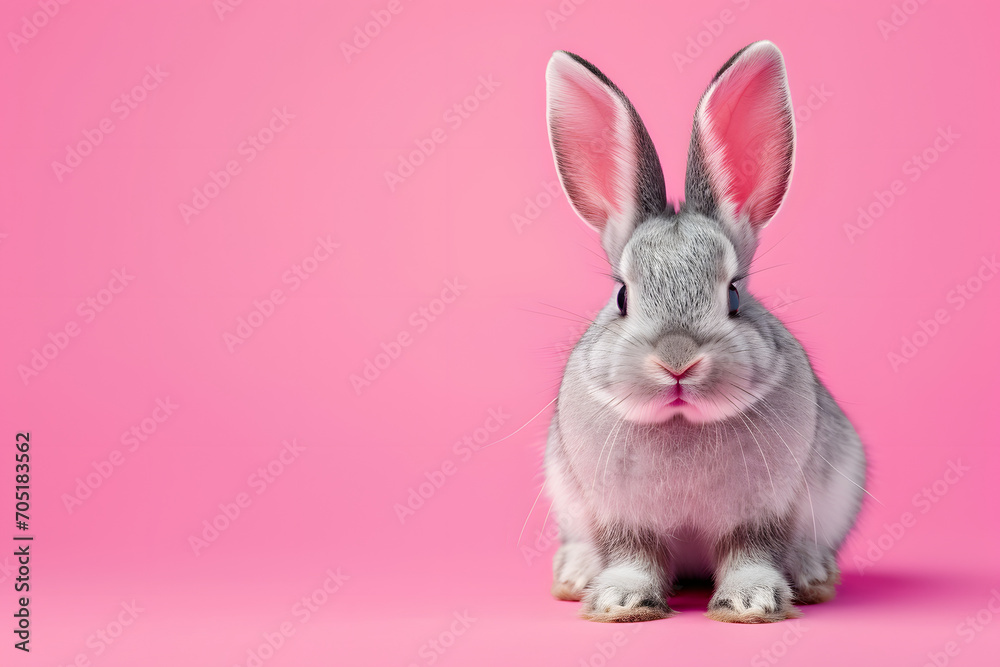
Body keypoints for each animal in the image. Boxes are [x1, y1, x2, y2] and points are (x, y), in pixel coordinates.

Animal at [543, 41, 867, 623]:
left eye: (734, 295)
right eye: (622, 296)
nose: (677, 360)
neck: (682, 423)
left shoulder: (763, 512)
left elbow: (750, 553)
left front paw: (751, 604)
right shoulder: (621, 517)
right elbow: (633, 556)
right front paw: (621, 602)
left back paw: (813, 573)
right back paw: (575, 573)